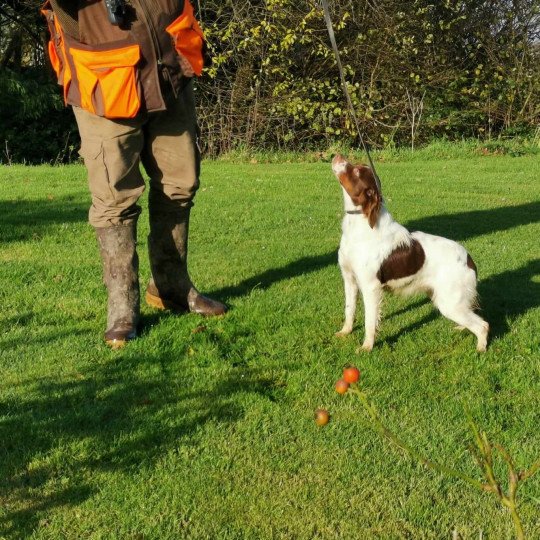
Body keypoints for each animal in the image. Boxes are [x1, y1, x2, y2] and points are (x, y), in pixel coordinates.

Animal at [332, 154, 492, 352]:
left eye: (355, 171)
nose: (337, 155)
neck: (361, 224)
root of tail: (469, 259)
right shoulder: (349, 279)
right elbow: (349, 309)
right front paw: (345, 332)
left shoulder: (371, 287)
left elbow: (370, 321)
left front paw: (367, 348)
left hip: (449, 302)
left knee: (483, 325)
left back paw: (480, 349)